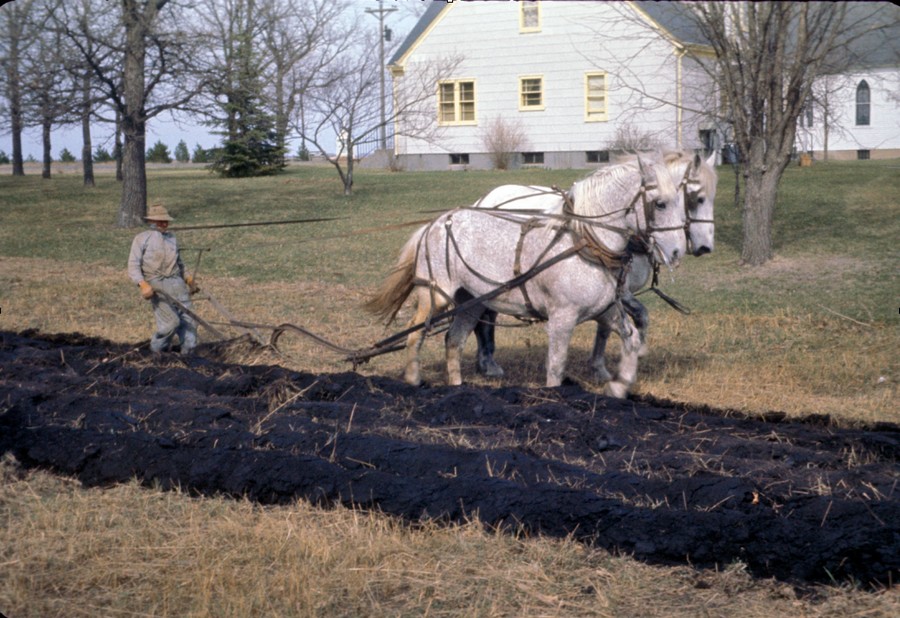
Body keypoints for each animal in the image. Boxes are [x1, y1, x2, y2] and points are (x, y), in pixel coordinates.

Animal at [366, 155, 688, 394]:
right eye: (660, 203)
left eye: (683, 201)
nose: (676, 252)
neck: (583, 243)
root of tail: (433, 224)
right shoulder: (561, 318)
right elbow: (555, 368)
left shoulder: (606, 308)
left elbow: (630, 339)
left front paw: (620, 386)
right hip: (435, 296)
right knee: (415, 334)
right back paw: (413, 380)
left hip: (470, 302)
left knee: (453, 341)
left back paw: (457, 389)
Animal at [472, 149, 716, 380]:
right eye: (697, 198)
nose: (705, 247)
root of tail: (483, 200)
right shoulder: (620, 291)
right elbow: (625, 319)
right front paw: (603, 365)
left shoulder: (612, 293)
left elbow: (624, 320)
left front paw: (612, 362)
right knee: (486, 316)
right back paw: (488, 362)